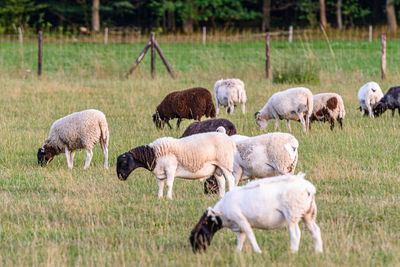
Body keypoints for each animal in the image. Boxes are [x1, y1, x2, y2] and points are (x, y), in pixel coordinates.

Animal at [189, 173, 324, 254]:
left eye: (198, 236)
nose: (198, 253)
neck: (221, 214)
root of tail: (309, 189)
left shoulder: (241, 220)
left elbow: (250, 235)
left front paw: (258, 251)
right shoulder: (240, 226)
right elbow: (241, 239)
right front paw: (237, 253)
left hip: (292, 213)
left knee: (296, 234)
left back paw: (293, 252)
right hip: (308, 213)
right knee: (315, 231)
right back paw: (318, 252)